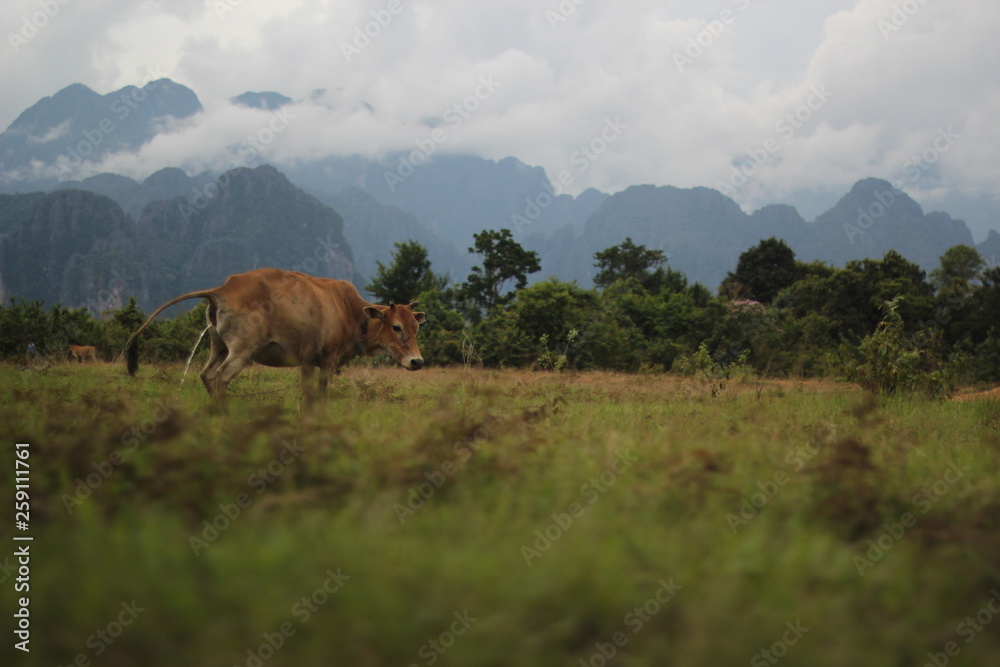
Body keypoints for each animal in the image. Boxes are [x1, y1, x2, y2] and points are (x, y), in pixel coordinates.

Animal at [125, 268, 425, 399]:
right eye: (396, 327)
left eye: (416, 327)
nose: (417, 361)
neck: (351, 312)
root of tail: (223, 288)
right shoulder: (327, 359)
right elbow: (320, 394)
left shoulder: (307, 361)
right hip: (242, 349)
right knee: (220, 377)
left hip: (218, 344)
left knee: (207, 374)